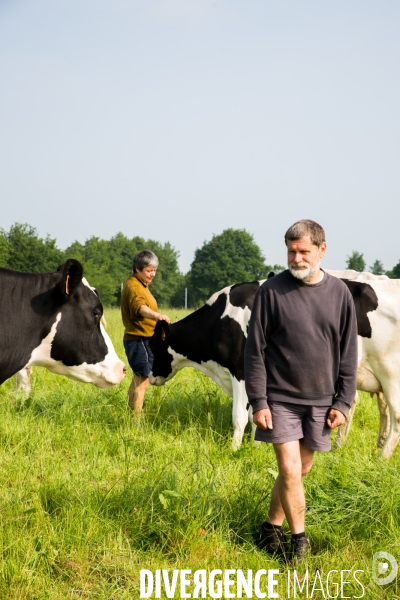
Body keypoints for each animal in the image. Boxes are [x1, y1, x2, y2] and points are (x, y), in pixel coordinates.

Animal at [149, 274, 400, 458]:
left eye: (152, 345)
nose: (151, 377)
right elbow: (257, 416)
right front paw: (256, 447)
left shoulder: (240, 371)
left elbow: (239, 416)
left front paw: (234, 449)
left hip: (390, 376)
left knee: (396, 417)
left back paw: (382, 458)